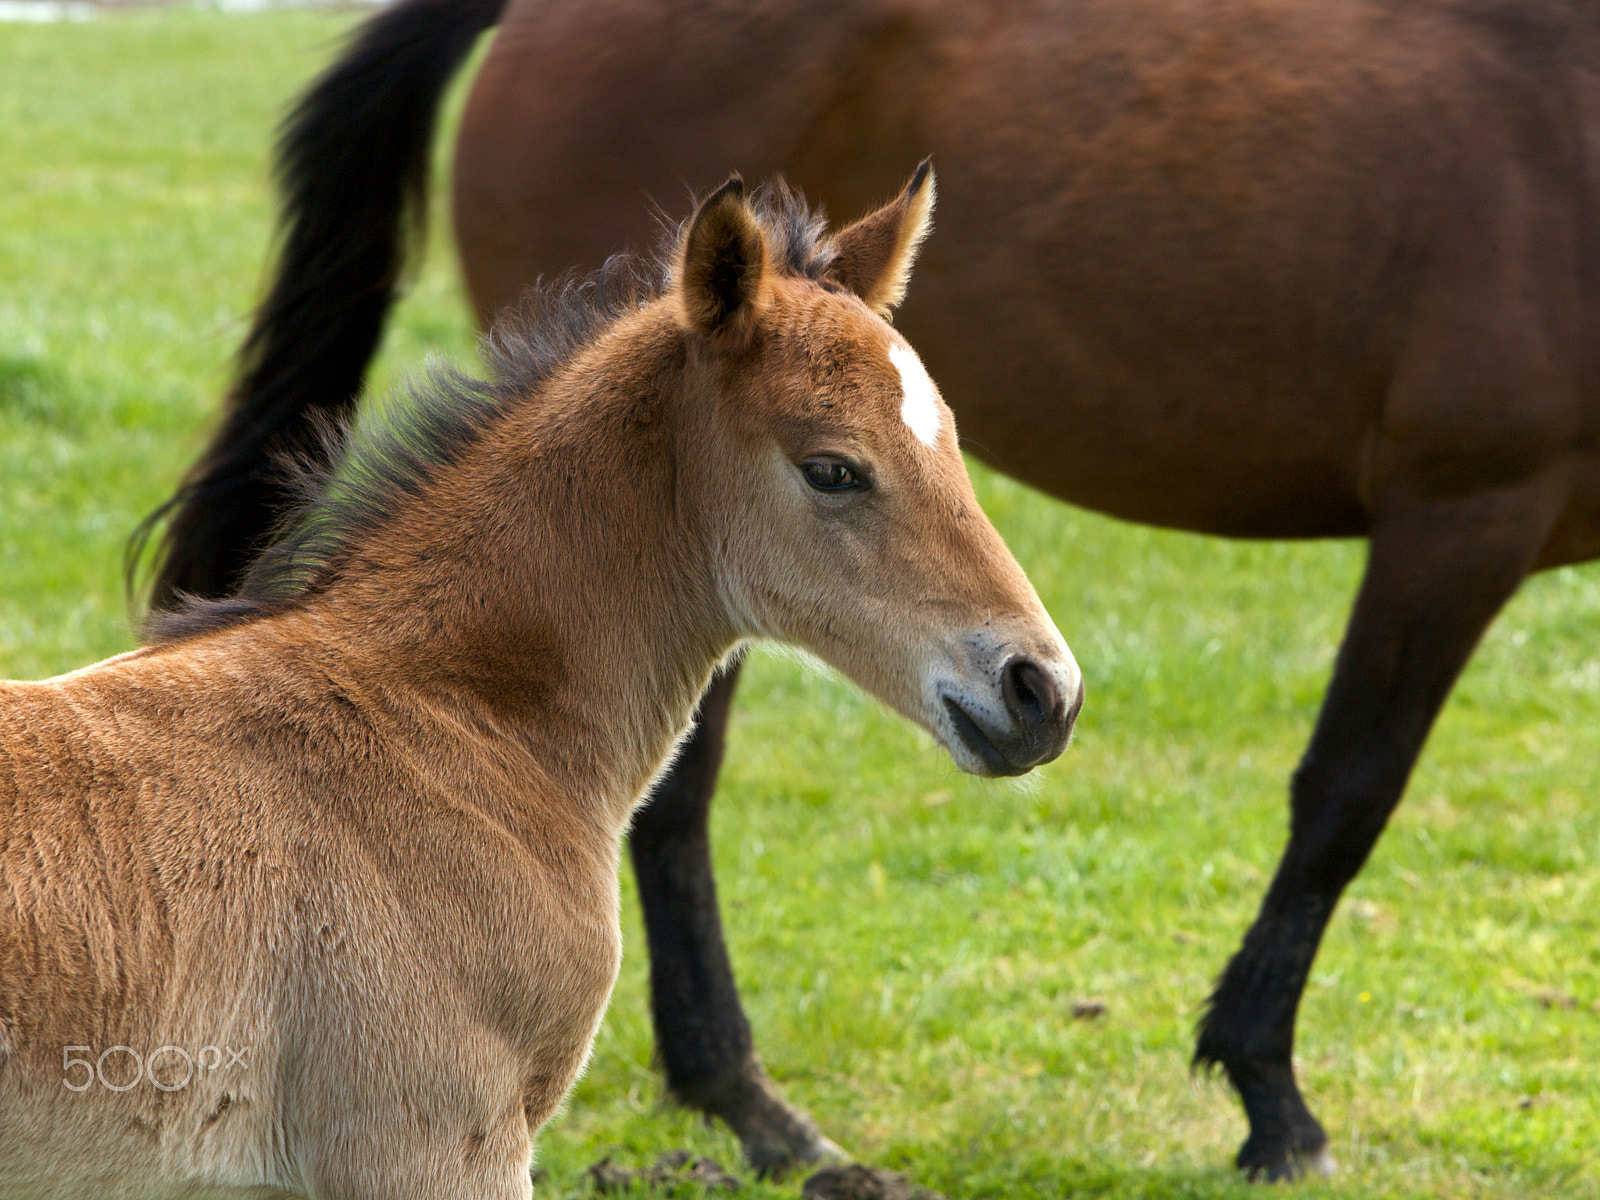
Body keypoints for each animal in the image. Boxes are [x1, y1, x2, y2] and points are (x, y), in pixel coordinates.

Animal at [138, 0, 1600, 1182]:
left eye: (949, 440)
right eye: (833, 468)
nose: (1043, 693)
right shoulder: (1461, 506)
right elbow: (1347, 793)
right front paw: (1269, 1100)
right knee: (676, 801)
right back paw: (746, 1100)